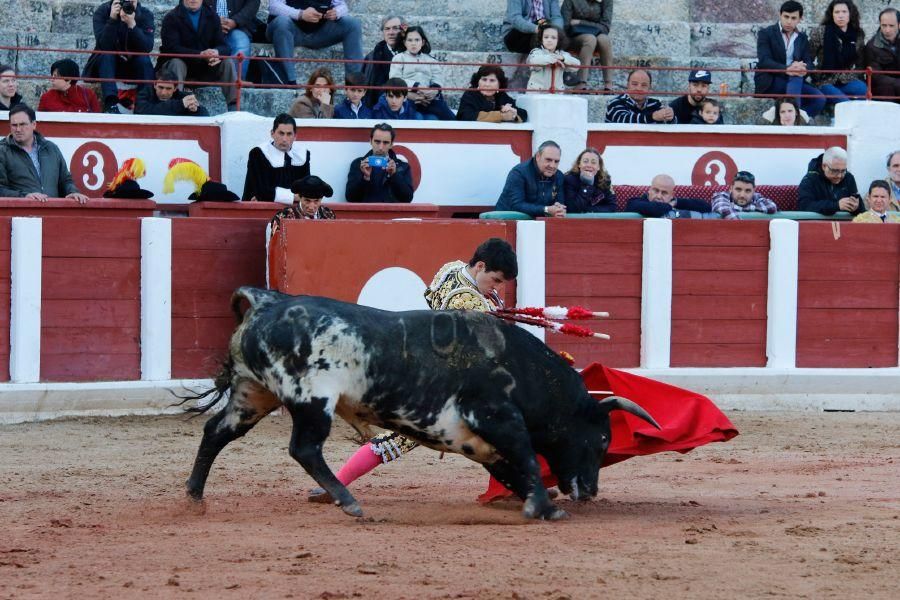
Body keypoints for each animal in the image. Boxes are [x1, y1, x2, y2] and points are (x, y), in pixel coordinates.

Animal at [185, 288, 660, 520]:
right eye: (602, 440)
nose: (591, 492)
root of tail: (269, 301)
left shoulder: (479, 443)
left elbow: (513, 471)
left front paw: (540, 503)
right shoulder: (498, 419)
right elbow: (526, 459)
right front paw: (544, 507)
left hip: (253, 395)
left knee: (216, 432)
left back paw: (193, 496)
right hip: (313, 398)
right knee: (304, 448)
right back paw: (349, 502)